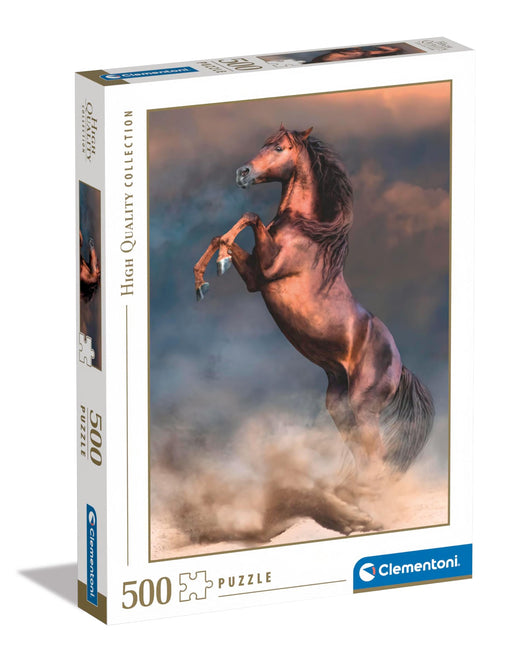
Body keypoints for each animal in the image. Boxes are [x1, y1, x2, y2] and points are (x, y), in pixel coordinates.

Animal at [193, 125, 434, 535]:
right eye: (263, 144)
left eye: (278, 147)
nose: (242, 173)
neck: (304, 232)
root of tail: (400, 366)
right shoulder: (255, 277)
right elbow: (222, 236)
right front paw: (203, 280)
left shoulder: (266, 269)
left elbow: (249, 216)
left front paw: (217, 266)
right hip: (339, 405)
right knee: (364, 457)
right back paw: (353, 507)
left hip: (364, 405)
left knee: (376, 457)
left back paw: (365, 511)